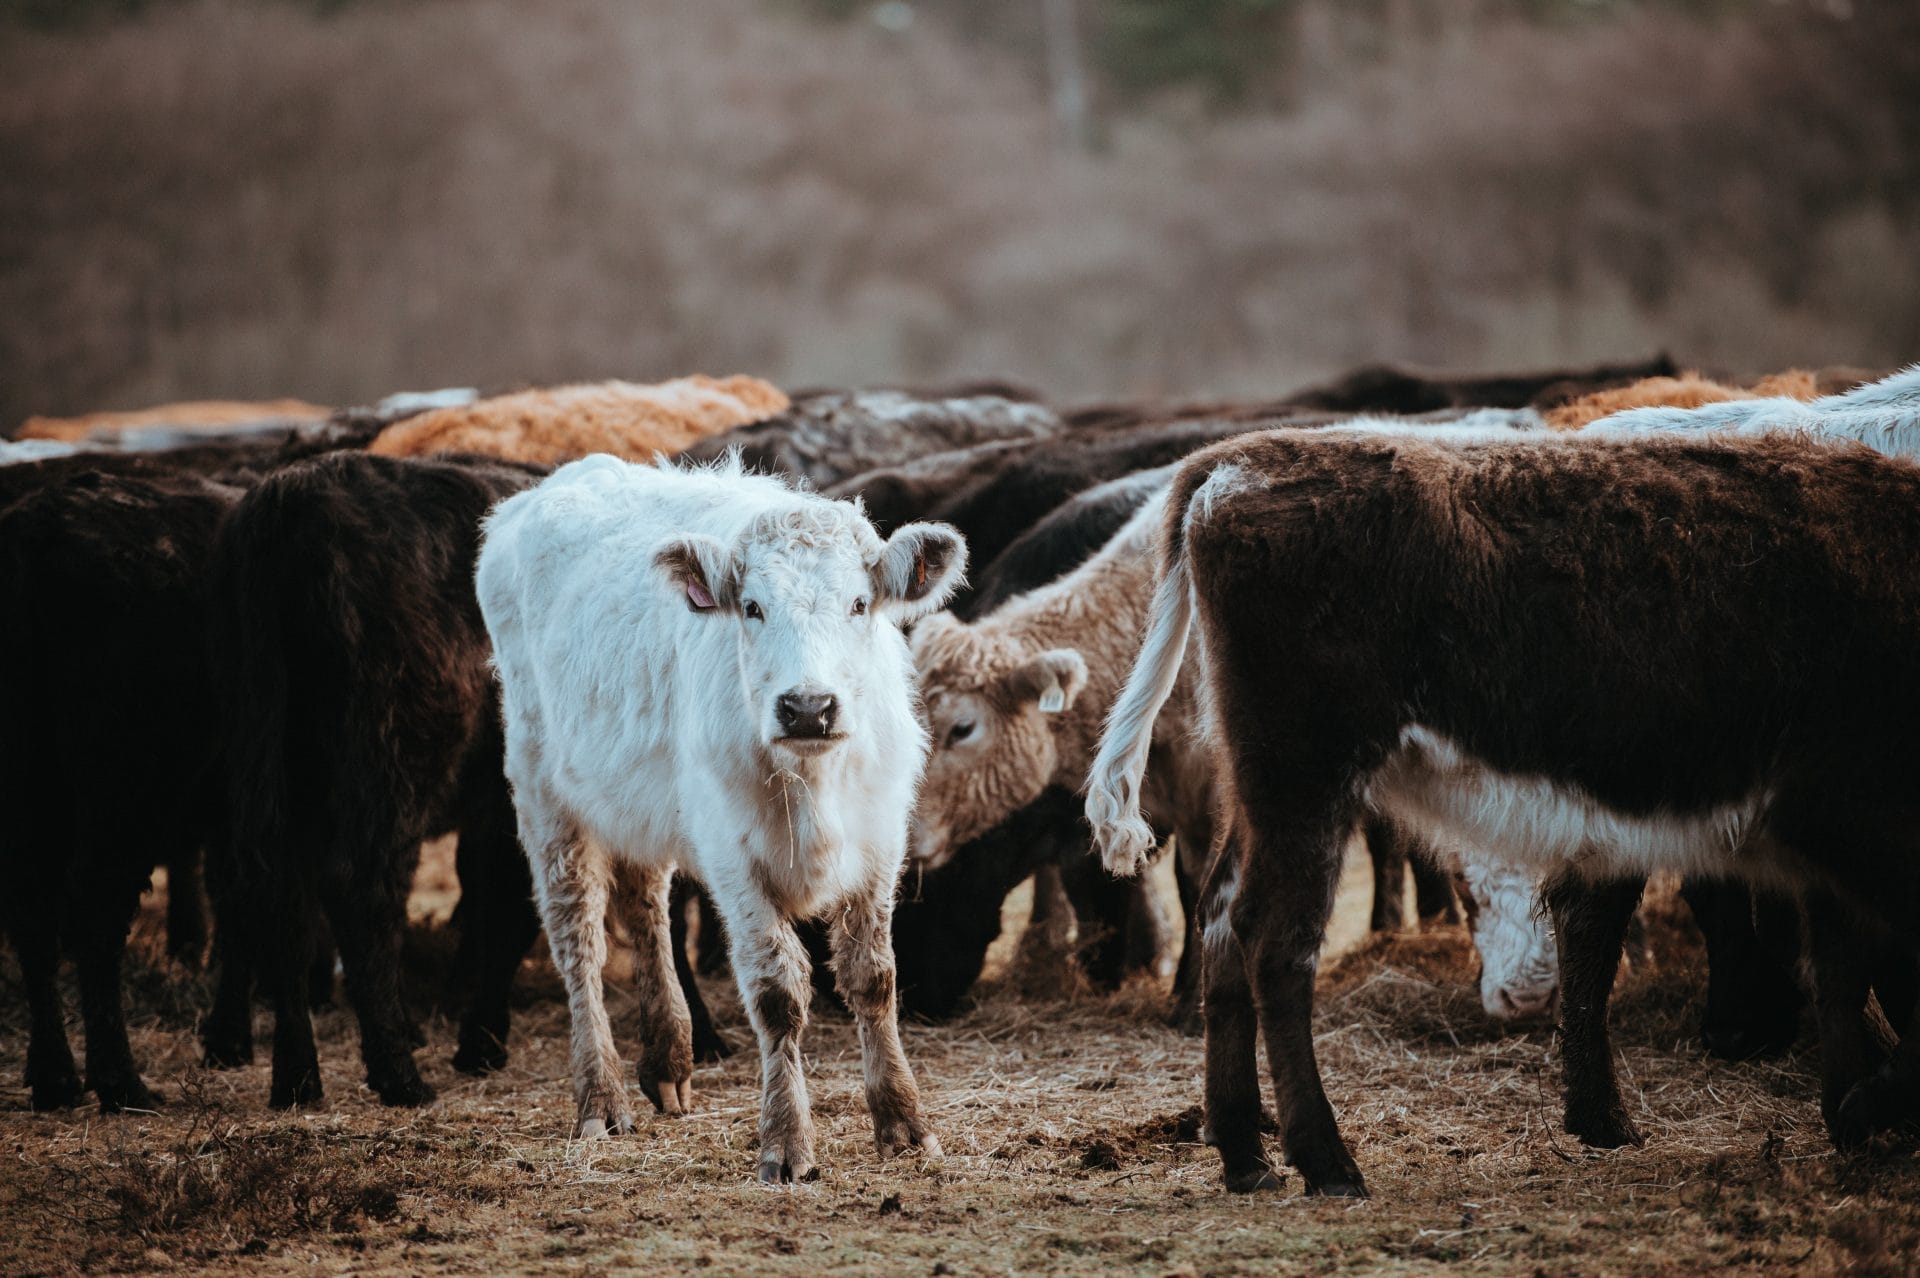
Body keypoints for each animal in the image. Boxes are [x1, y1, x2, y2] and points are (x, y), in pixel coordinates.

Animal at [477, 454, 963, 1182]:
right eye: (753, 608)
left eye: (859, 604)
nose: (808, 706)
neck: (812, 784)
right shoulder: (736, 860)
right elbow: (778, 997)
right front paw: (786, 1142)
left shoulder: (880, 843)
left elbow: (873, 979)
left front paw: (903, 1123)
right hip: (543, 790)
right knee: (578, 940)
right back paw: (600, 1096)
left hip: (643, 802)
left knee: (645, 908)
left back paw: (668, 1058)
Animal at [1087, 425, 1920, 1197]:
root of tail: (1237, 460)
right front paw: (1863, 1108)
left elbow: (1843, 964)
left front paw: (1850, 1111)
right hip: (1307, 785)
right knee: (1276, 942)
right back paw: (1327, 1162)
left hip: (1262, 793)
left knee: (1221, 917)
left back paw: (1244, 1154)